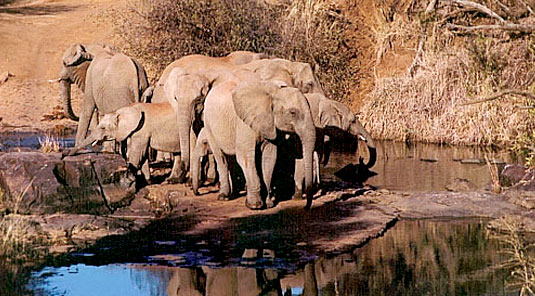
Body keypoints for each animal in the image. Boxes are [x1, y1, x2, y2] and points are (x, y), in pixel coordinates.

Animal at [201, 71, 318, 209]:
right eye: (293, 112)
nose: (305, 207)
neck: (274, 92)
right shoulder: (244, 123)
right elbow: (246, 158)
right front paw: (255, 205)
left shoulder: (269, 124)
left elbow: (269, 158)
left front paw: (269, 204)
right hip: (208, 123)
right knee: (221, 157)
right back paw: (224, 197)